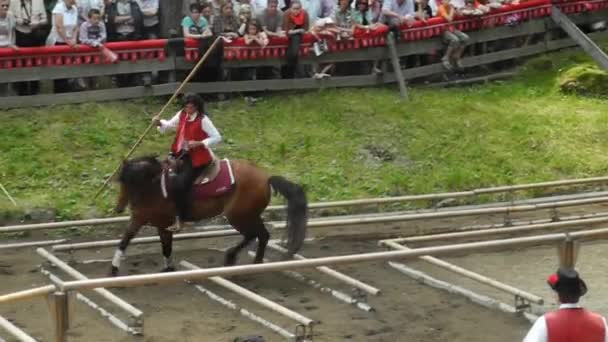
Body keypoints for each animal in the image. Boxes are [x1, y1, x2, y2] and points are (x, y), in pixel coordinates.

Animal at [109, 156, 306, 276]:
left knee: (256, 234)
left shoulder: (160, 223)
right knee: (261, 235)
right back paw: (251, 261)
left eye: (130, 181)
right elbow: (127, 241)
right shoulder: (142, 219)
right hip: (249, 215)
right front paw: (114, 268)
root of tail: (266, 178)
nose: (119, 208)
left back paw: (239, 259)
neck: (157, 187)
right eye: (121, 181)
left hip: (239, 216)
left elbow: (164, 247)